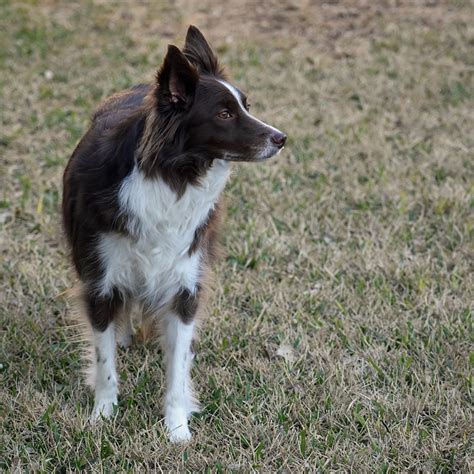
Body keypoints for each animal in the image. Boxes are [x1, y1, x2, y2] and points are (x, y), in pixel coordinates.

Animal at [61, 25, 286, 440]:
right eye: (224, 113)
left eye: (246, 105)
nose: (281, 138)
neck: (172, 174)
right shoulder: (100, 281)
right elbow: (104, 360)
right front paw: (103, 415)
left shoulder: (185, 285)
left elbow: (177, 368)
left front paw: (177, 429)